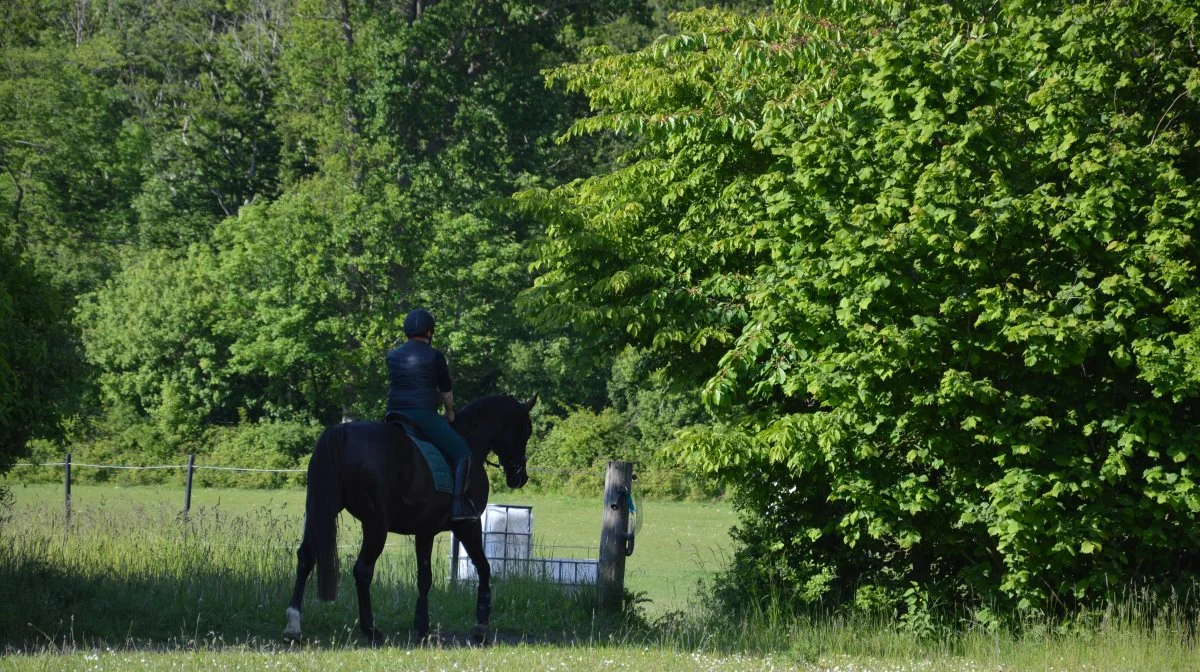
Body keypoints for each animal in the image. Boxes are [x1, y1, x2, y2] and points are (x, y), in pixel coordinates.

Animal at [283, 396, 532, 643]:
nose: (519, 477)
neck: (470, 438)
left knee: (306, 557)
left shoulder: (425, 531)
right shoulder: (468, 525)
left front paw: (422, 626)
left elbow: (424, 577)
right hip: (376, 526)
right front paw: (481, 626)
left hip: (320, 512)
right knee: (362, 570)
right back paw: (371, 630)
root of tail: (341, 433)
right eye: (527, 431)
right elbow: (484, 567)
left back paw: (293, 626)